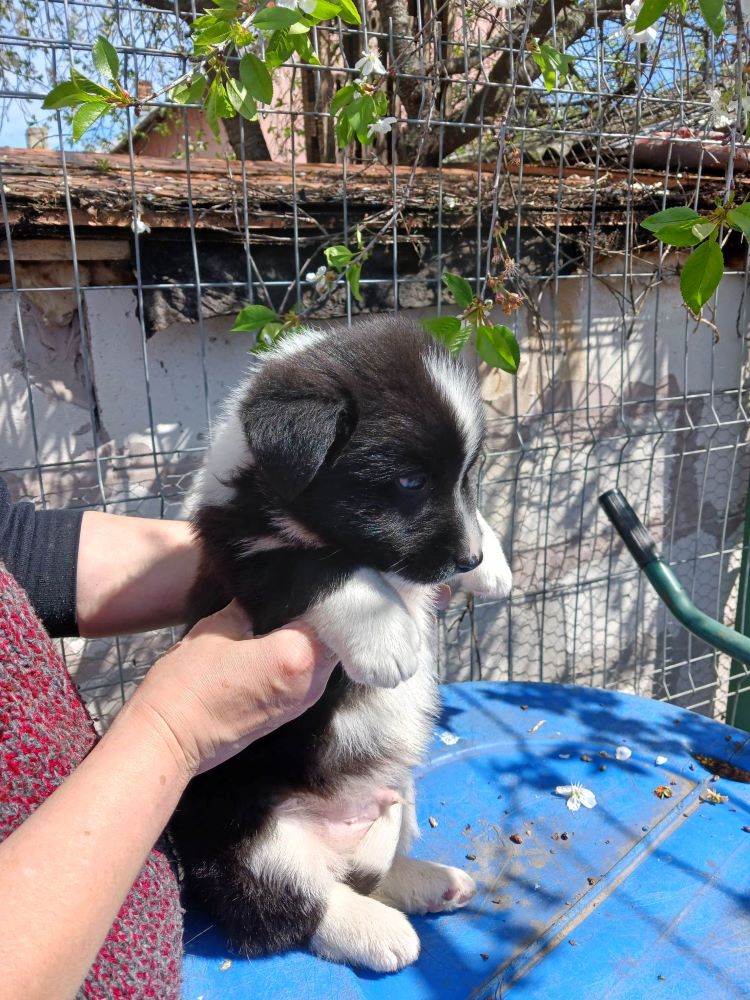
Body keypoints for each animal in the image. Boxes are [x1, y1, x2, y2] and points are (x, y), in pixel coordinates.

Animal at [171, 316, 516, 972]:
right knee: (291, 906)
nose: (467, 560)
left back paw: (430, 881)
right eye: (409, 482)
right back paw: (379, 933)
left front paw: (493, 565)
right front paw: (389, 639)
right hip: (249, 834)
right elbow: (325, 568)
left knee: (368, 873)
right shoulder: (249, 561)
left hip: (398, 793)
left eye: (466, 475)